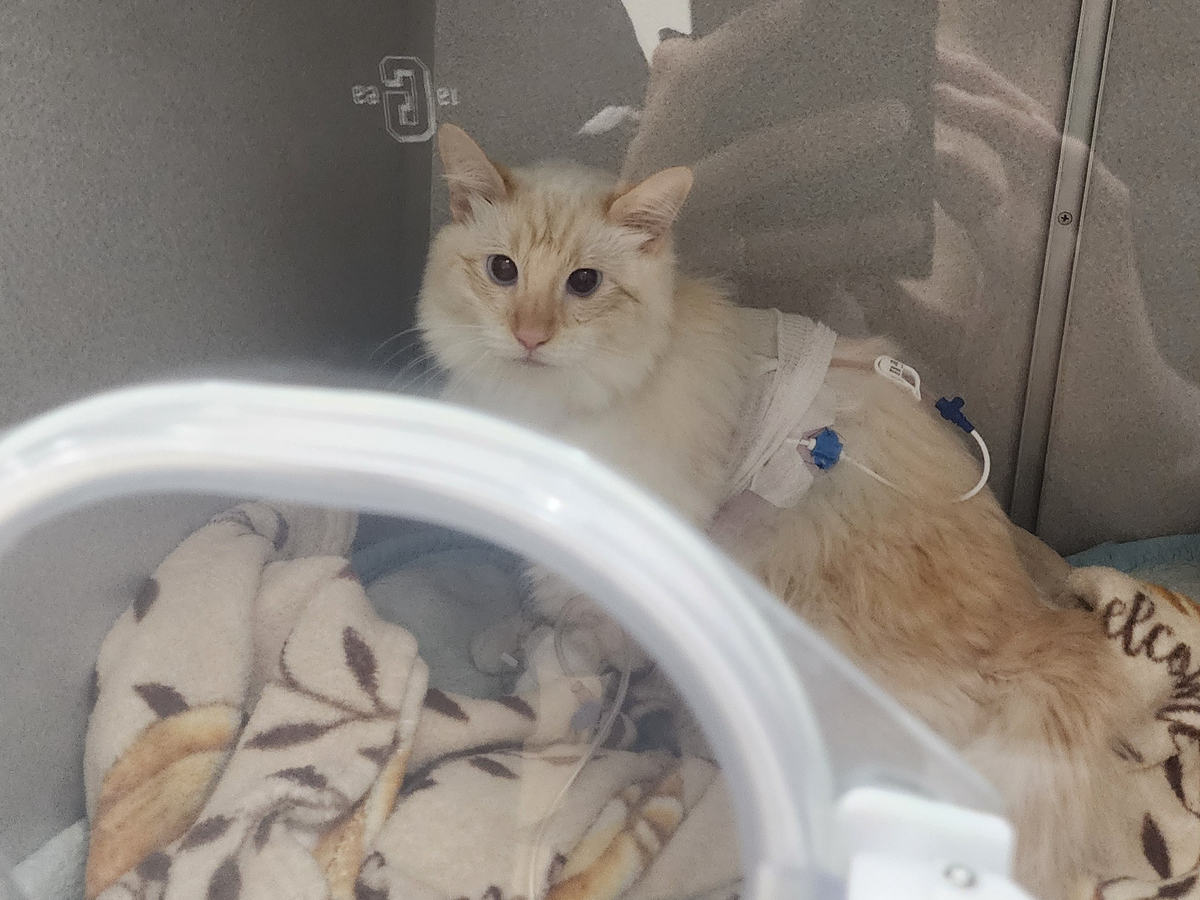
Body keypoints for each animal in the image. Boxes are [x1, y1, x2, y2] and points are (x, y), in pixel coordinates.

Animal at [416, 123, 1155, 900]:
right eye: (502, 271)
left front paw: (558, 686)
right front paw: (515, 643)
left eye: (583, 284)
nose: (530, 335)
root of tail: (1037, 635)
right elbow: (546, 608)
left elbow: (582, 633)